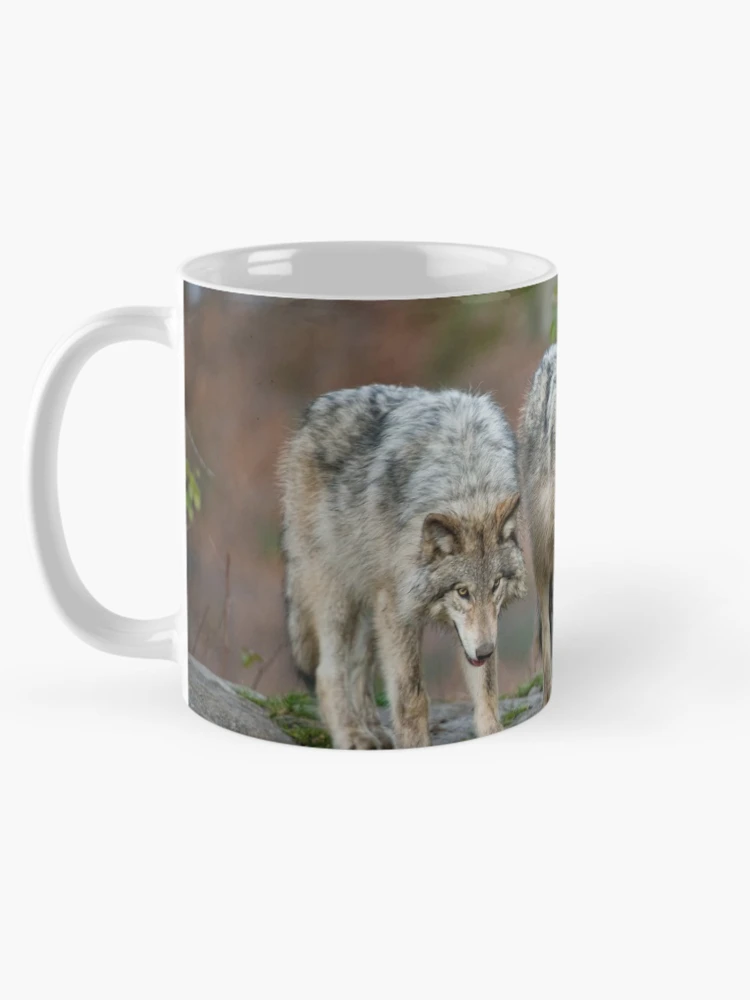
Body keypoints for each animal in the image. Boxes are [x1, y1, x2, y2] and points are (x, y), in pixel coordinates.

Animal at [279, 384, 527, 749]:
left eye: (495, 586)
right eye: (462, 592)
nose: (484, 651)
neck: (467, 482)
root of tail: (314, 411)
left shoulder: (478, 630)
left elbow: (486, 691)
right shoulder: (398, 610)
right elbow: (412, 697)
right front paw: (413, 745)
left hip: (370, 606)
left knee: (359, 668)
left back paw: (375, 730)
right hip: (339, 594)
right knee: (327, 672)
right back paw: (353, 735)